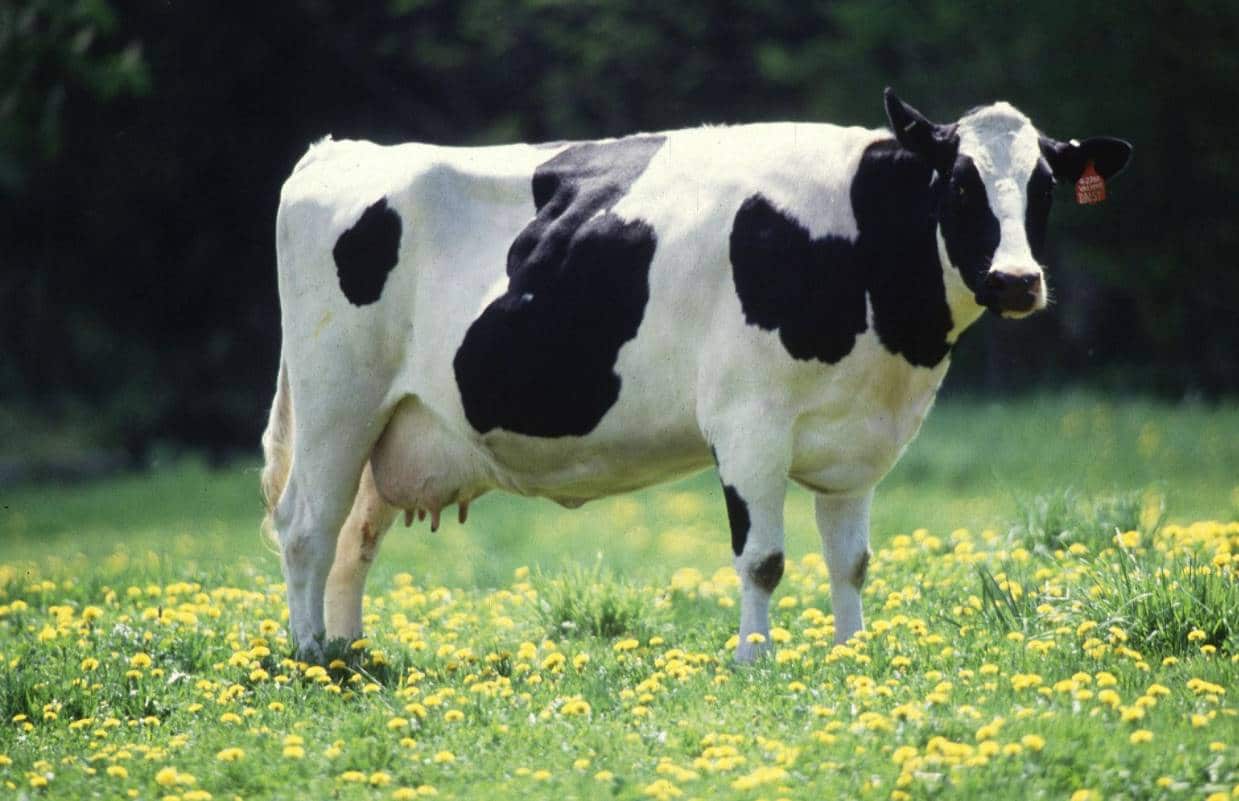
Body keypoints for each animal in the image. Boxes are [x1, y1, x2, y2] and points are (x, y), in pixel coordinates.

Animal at [261, 89, 1131, 663]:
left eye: (1044, 188)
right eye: (957, 183)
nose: (1016, 280)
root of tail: (339, 150)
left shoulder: (857, 440)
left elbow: (849, 560)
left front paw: (852, 654)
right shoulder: (748, 422)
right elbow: (763, 558)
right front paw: (754, 660)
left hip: (393, 423)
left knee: (354, 536)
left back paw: (351, 652)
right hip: (337, 400)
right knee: (306, 525)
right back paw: (310, 656)